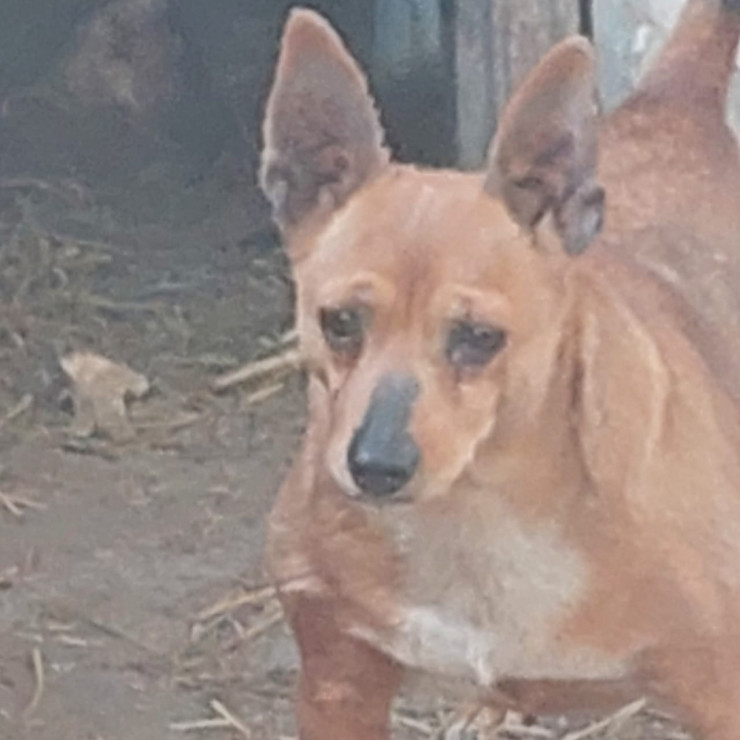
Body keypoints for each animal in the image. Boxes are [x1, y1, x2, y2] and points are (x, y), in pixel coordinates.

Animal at [259, 1, 740, 737]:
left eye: (479, 338)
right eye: (339, 322)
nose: (375, 466)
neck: (474, 519)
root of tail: (677, 99)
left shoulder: (720, 692)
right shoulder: (337, 684)